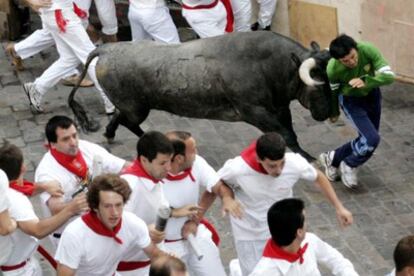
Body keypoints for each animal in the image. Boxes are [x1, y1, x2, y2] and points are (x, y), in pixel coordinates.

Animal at [68, 31, 334, 161]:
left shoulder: (279, 107)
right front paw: (308, 158)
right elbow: (286, 134)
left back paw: (115, 136)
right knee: (127, 121)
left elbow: (289, 130)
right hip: (137, 108)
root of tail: (107, 49)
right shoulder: (255, 111)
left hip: (133, 107)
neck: (269, 64)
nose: (329, 114)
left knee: (119, 119)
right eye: (318, 83)